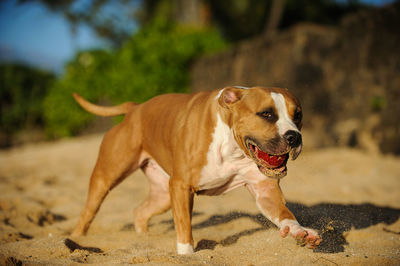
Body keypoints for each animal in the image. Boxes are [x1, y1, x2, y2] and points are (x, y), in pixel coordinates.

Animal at [71, 87, 322, 254]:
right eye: (266, 114)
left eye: (298, 115)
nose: (294, 136)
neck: (232, 148)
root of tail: (136, 109)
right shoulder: (182, 187)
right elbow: (184, 229)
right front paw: (186, 255)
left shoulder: (265, 191)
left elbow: (284, 214)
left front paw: (299, 231)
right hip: (106, 178)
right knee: (88, 212)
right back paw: (76, 240)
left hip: (163, 195)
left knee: (140, 211)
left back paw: (144, 238)